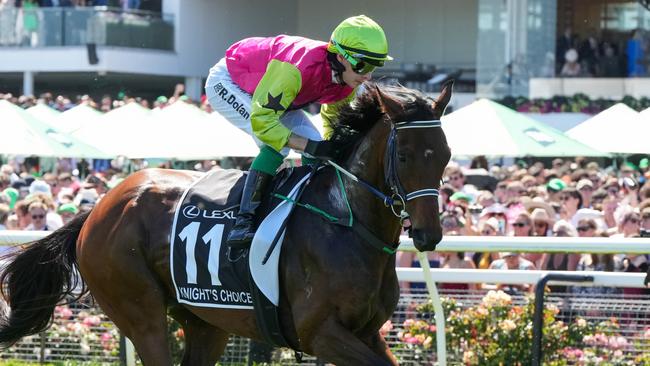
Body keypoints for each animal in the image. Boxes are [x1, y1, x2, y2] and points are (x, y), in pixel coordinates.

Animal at [0, 83, 450, 366]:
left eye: (445, 154)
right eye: (404, 156)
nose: (429, 234)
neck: (346, 222)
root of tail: (97, 209)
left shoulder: (368, 331)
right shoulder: (319, 332)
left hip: (205, 321)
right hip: (138, 308)